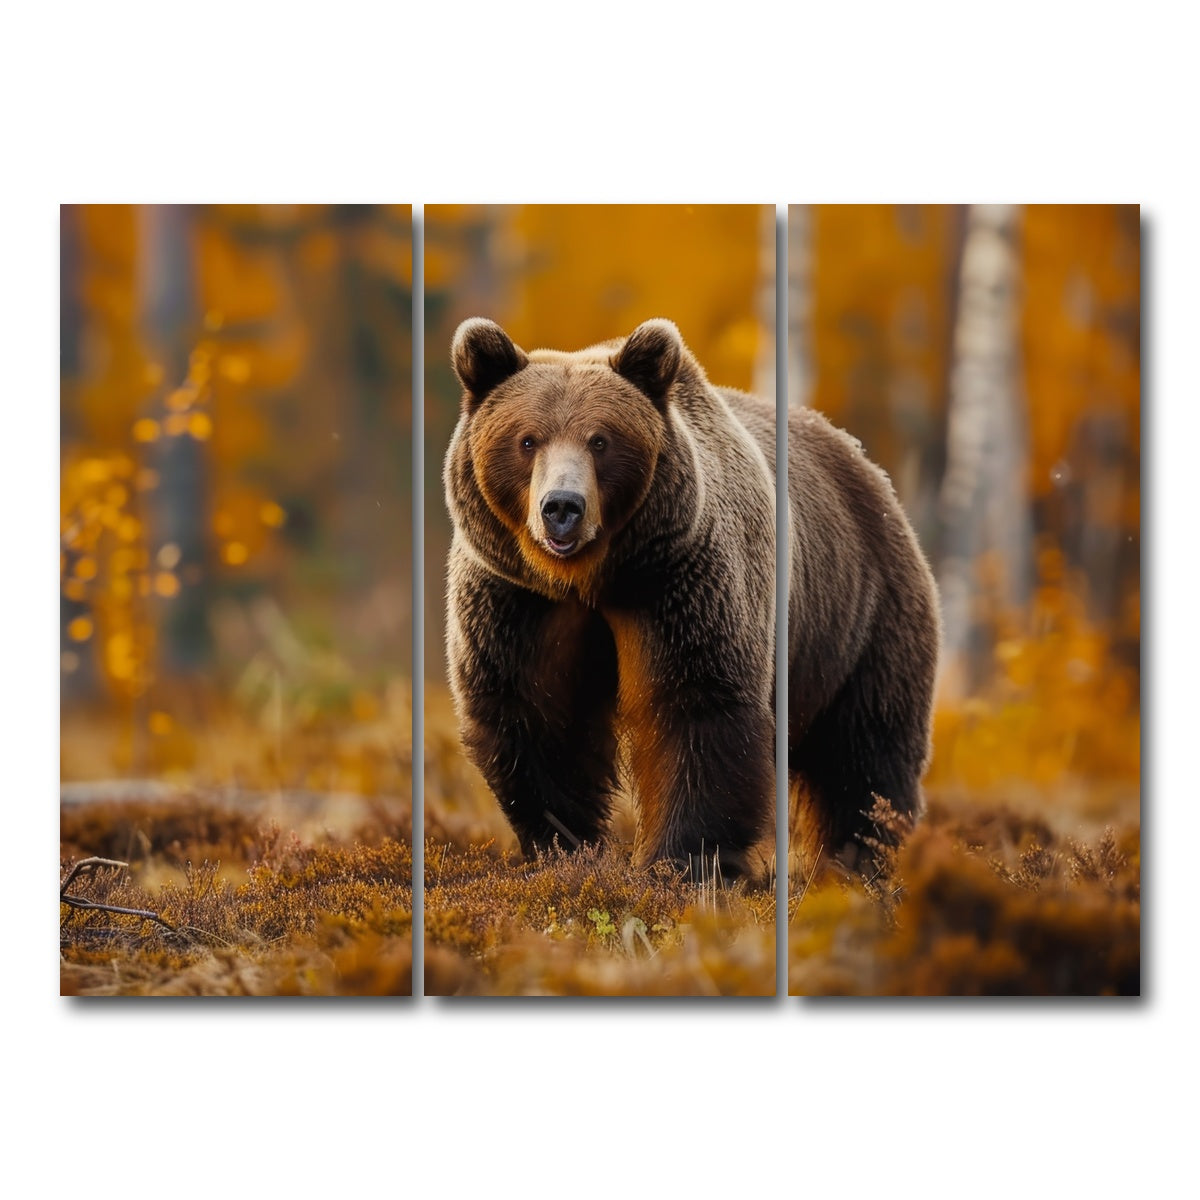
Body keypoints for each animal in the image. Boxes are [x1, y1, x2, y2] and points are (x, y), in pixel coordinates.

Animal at [443, 316, 939, 881]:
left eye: (600, 440)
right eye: (527, 439)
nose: (562, 507)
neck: (592, 578)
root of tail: (866, 466)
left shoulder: (681, 584)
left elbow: (696, 707)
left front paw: (682, 861)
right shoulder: (519, 603)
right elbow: (536, 716)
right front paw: (565, 848)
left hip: (862, 617)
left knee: (867, 751)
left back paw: (862, 857)